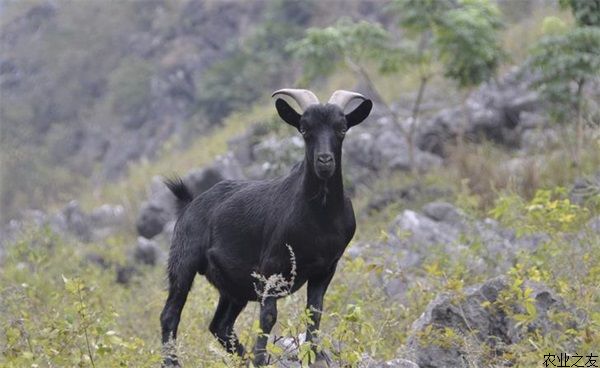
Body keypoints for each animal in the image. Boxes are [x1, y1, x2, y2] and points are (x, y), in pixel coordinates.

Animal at [159, 88, 370, 366]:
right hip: (184, 260)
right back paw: (174, 361)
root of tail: (188, 203)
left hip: (233, 287)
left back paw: (243, 358)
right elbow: (268, 316)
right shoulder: (271, 268)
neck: (319, 220)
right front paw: (261, 358)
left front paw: (314, 355)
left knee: (220, 325)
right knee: (170, 314)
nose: (324, 161)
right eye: (304, 129)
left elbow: (314, 311)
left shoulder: (326, 268)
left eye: (342, 128)